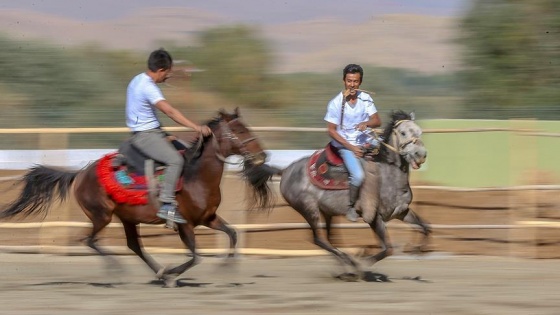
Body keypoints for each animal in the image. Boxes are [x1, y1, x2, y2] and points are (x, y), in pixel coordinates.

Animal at [0, 108, 272, 288]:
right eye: (238, 130)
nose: (263, 156)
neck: (195, 177)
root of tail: (82, 173)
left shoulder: (209, 218)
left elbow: (232, 234)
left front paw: (226, 267)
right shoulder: (184, 224)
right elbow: (195, 256)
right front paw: (173, 273)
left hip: (127, 219)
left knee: (133, 246)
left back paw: (158, 271)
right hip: (101, 216)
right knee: (89, 240)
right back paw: (120, 271)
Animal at [244, 110, 428, 278]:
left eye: (419, 131)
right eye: (403, 132)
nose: (421, 155)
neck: (387, 175)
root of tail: (285, 170)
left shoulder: (402, 212)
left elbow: (425, 227)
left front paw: (417, 249)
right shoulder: (374, 218)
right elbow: (388, 248)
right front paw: (363, 263)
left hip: (327, 212)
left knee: (330, 239)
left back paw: (346, 264)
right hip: (309, 209)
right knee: (319, 240)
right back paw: (350, 263)